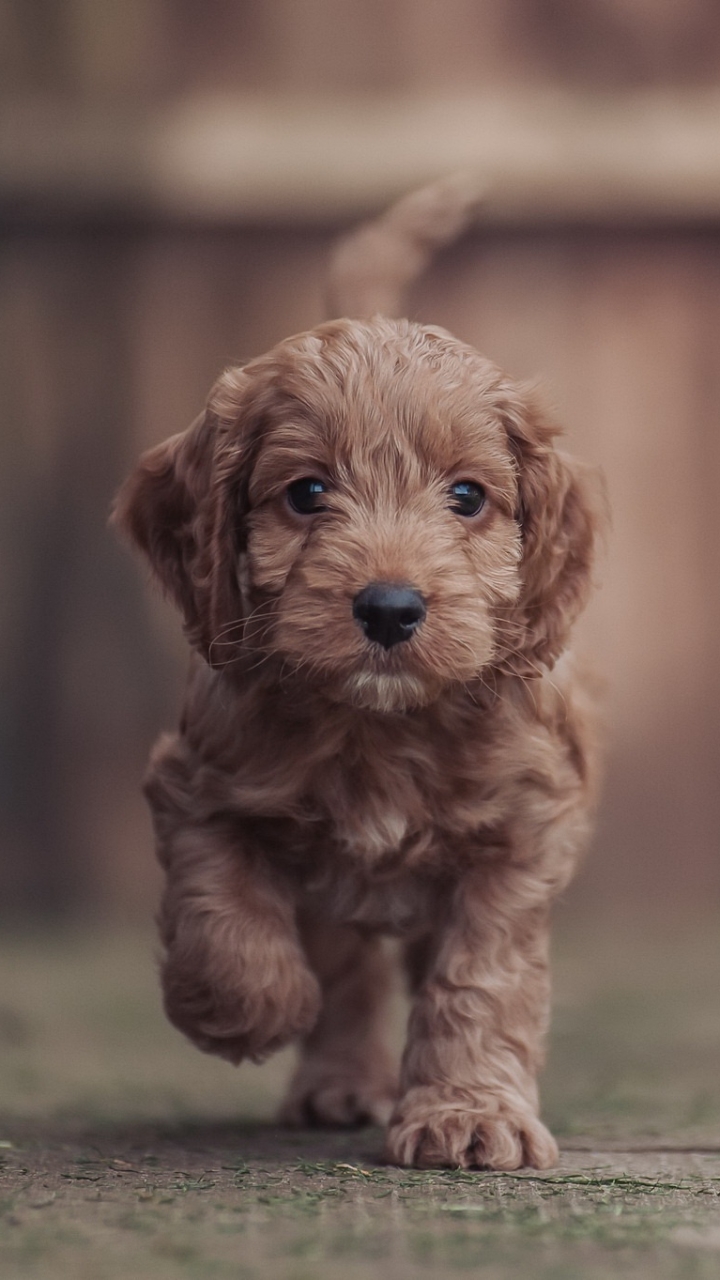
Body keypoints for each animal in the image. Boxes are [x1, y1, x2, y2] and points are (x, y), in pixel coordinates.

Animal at [114, 172, 599, 1172]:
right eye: (307, 493)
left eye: (468, 496)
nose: (388, 608)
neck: (378, 725)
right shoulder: (197, 785)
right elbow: (223, 915)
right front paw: (251, 1009)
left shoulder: (521, 835)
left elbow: (480, 979)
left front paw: (468, 1112)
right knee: (346, 964)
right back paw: (336, 1078)